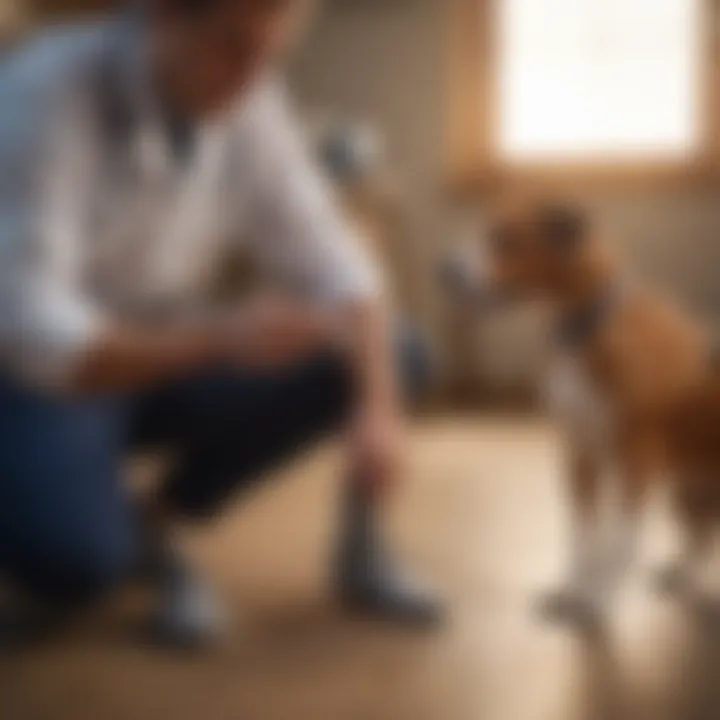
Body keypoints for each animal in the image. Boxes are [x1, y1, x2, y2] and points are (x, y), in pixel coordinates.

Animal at [444, 197, 720, 624]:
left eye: (504, 239)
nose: (443, 270)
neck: (585, 330)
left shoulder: (639, 463)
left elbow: (620, 541)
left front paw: (600, 598)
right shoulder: (581, 455)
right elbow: (584, 536)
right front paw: (573, 591)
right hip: (691, 488)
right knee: (702, 533)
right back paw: (682, 574)